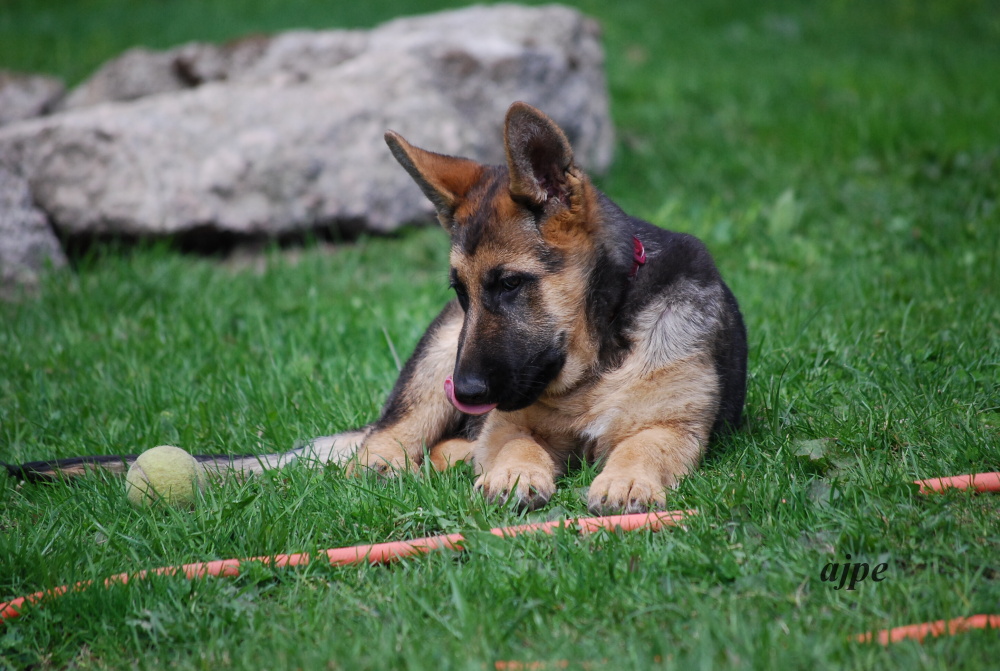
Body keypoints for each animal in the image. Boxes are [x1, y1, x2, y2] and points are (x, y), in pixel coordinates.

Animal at [5, 103, 744, 516]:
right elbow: (517, 438)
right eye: (462, 289)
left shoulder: (680, 424)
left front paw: (625, 481)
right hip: (433, 365)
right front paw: (515, 471)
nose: (467, 391)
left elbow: (645, 441)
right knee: (384, 450)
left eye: (510, 283)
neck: (597, 356)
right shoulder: (505, 410)